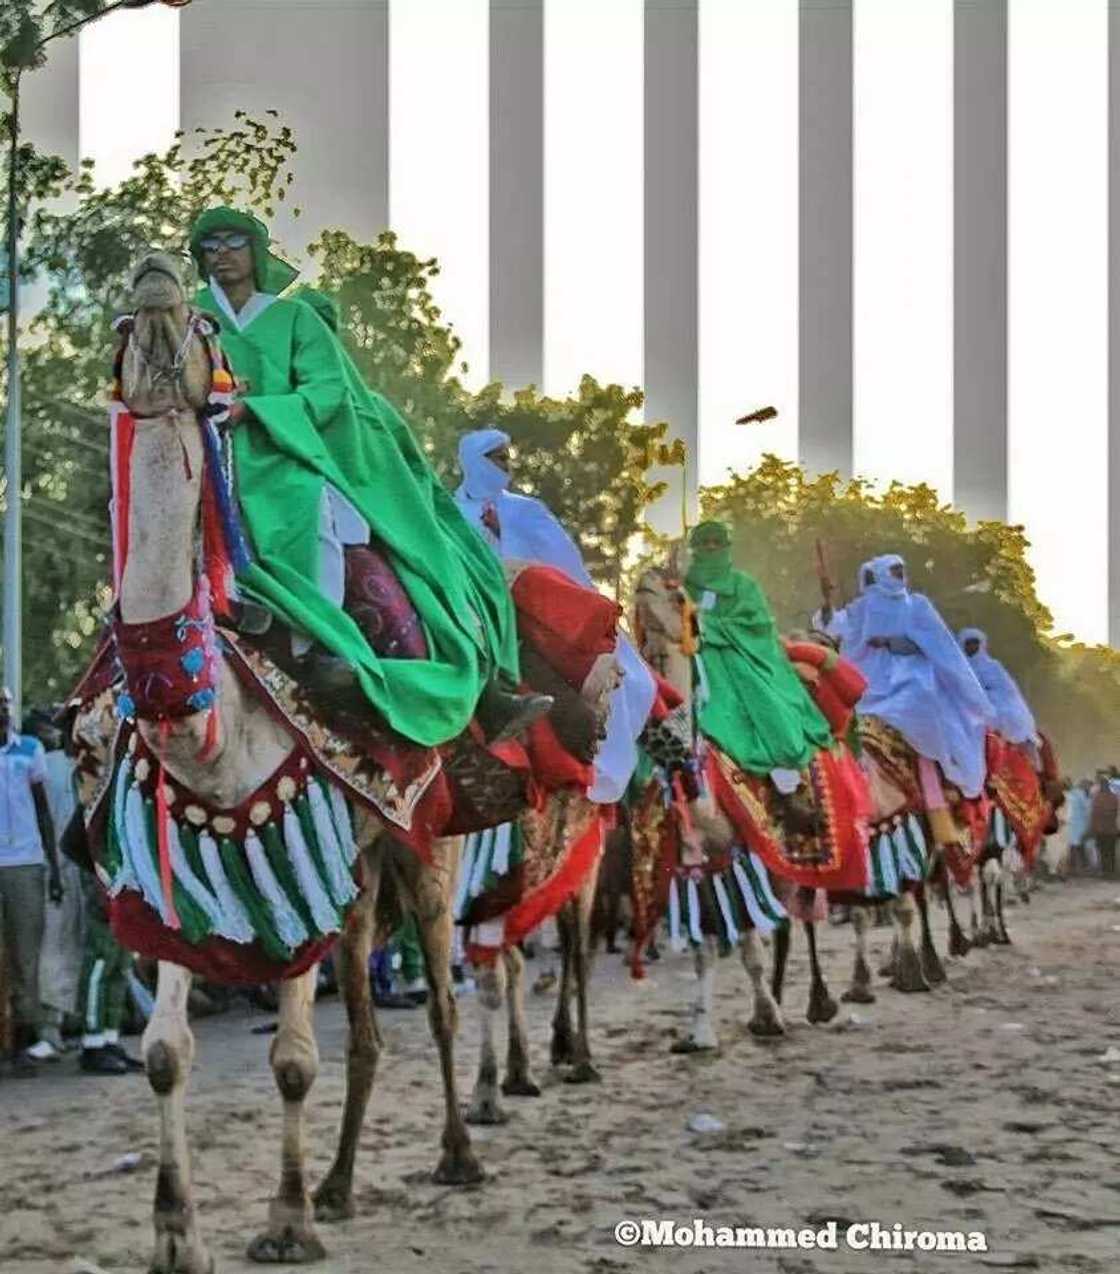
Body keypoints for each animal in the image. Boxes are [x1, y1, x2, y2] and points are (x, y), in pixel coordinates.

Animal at [103, 253, 486, 1268]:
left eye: (205, 327)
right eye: (119, 322)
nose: (156, 271)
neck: (211, 736)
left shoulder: (292, 870)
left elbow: (289, 1062)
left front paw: (284, 1222)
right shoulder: (176, 877)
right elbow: (165, 1054)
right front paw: (175, 1235)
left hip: (425, 849)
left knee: (441, 998)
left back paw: (457, 1156)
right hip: (357, 883)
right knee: (367, 1030)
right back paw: (342, 1184)